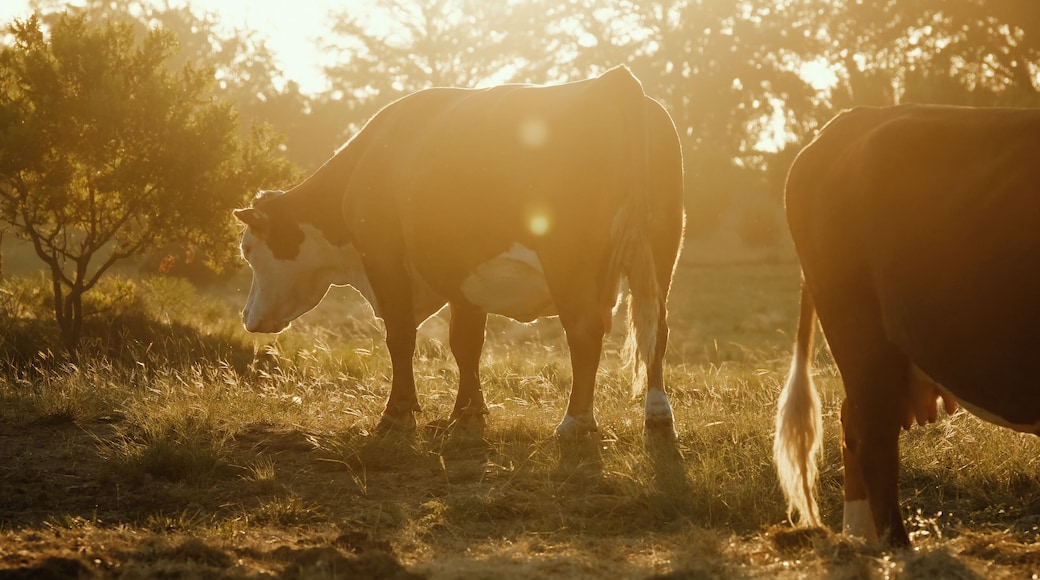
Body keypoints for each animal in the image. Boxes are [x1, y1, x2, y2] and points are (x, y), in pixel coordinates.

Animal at [233, 66, 686, 441]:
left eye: (248, 249)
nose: (247, 316)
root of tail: (613, 81)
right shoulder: (463, 274)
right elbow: (465, 342)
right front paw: (467, 412)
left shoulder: (384, 257)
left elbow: (400, 336)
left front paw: (397, 412)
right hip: (661, 251)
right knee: (657, 328)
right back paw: (658, 415)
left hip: (570, 261)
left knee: (585, 331)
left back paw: (576, 422)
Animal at [774, 103, 1040, 547]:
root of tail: (850, 118)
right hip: (858, 330)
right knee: (872, 437)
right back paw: (897, 546)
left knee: (853, 421)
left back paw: (861, 538)